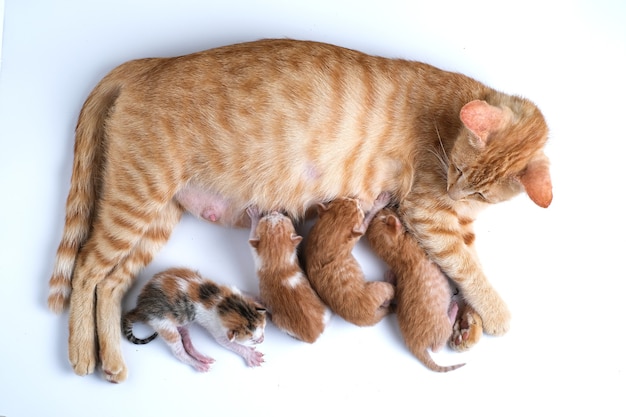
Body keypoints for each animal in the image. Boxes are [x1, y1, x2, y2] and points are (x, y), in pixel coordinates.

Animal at [122, 268, 266, 372]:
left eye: (263, 327)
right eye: (250, 338)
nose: (260, 339)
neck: (224, 303)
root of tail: (140, 307)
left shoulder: (231, 290)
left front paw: (258, 299)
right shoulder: (217, 329)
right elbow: (230, 344)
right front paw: (250, 355)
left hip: (182, 319)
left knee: (186, 341)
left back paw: (201, 357)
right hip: (163, 323)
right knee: (178, 351)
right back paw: (198, 364)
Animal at [304, 192, 394, 324]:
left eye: (347, 199)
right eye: (358, 208)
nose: (357, 199)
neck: (328, 236)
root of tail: (367, 318)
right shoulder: (360, 231)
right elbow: (368, 218)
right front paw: (380, 202)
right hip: (380, 288)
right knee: (389, 296)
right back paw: (390, 279)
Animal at [366, 208, 464, 370]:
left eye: (380, 214)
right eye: (384, 214)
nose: (385, 208)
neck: (395, 254)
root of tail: (415, 345)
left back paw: (389, 276)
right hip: (441, 328)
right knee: (437, 347)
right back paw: (454, 309)